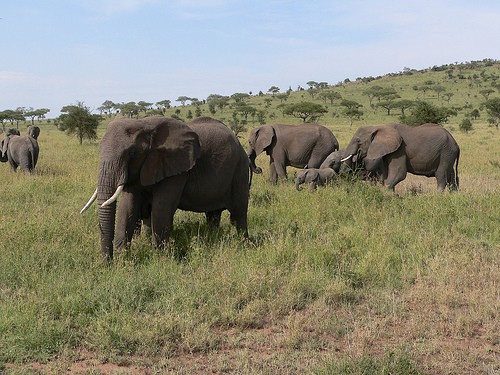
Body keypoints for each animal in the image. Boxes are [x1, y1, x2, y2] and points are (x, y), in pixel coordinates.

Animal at [81, 117, 250, 262]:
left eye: (132, 153)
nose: (107, 263)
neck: (145, 125)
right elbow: (127, 207)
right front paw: (124, 259)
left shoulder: (177, 168)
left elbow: (161, 208)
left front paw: (159, 259)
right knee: (213, 215)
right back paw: (214, 239)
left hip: (240, 168)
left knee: (239, 213)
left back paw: (244, 245)